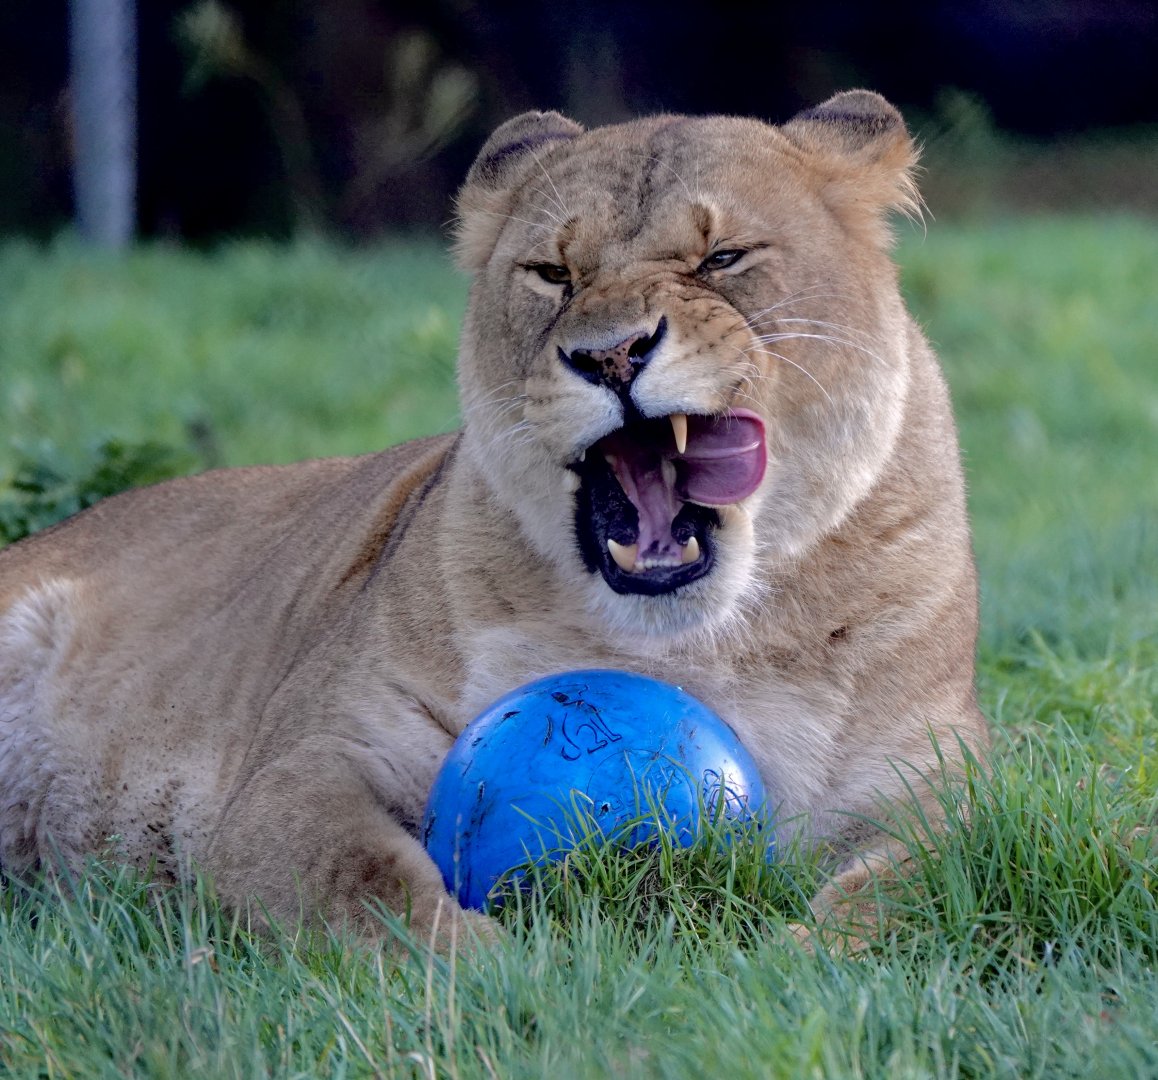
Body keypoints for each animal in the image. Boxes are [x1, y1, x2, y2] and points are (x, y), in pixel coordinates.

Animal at [0, 90, 987, 947]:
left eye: (724, 259)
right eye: (553, 274)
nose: (611, 355)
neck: (695, 648)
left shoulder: (941, 779)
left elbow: (914, 889)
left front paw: (793, 957)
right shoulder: (309, 764)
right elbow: (367, 890)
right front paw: (493, 977)